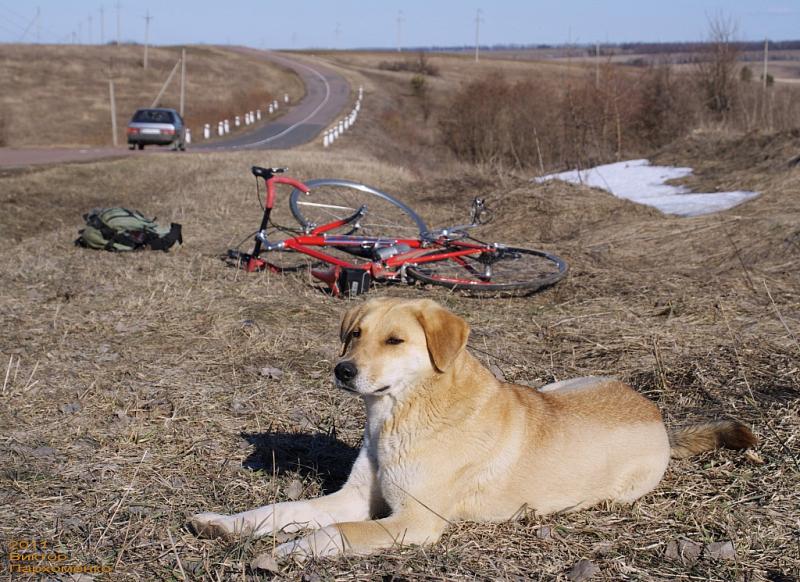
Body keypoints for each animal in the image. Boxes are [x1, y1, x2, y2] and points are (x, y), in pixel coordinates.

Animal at [189, 298, 756, 560]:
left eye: (395, 341)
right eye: (354, 334)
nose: (342, 371)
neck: (399, 418)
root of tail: (657, 415)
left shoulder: (413, 522)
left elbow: (335, 531)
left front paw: (284, 553)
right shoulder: (354, 498)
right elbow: (282, 511)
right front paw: (225, 524)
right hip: (558, 383)